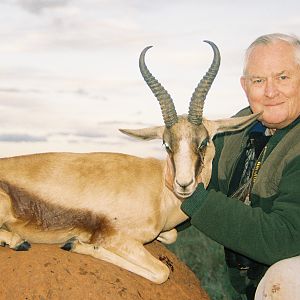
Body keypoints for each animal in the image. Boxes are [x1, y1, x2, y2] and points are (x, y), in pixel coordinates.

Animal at [0, 40, 258, 284]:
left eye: (203, 142)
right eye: (166, 144)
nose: (184, 185)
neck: (159, 193)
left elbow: (171, 236)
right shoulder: (118, 238)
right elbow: (162, 271)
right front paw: (76, 243)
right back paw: (18, 241)